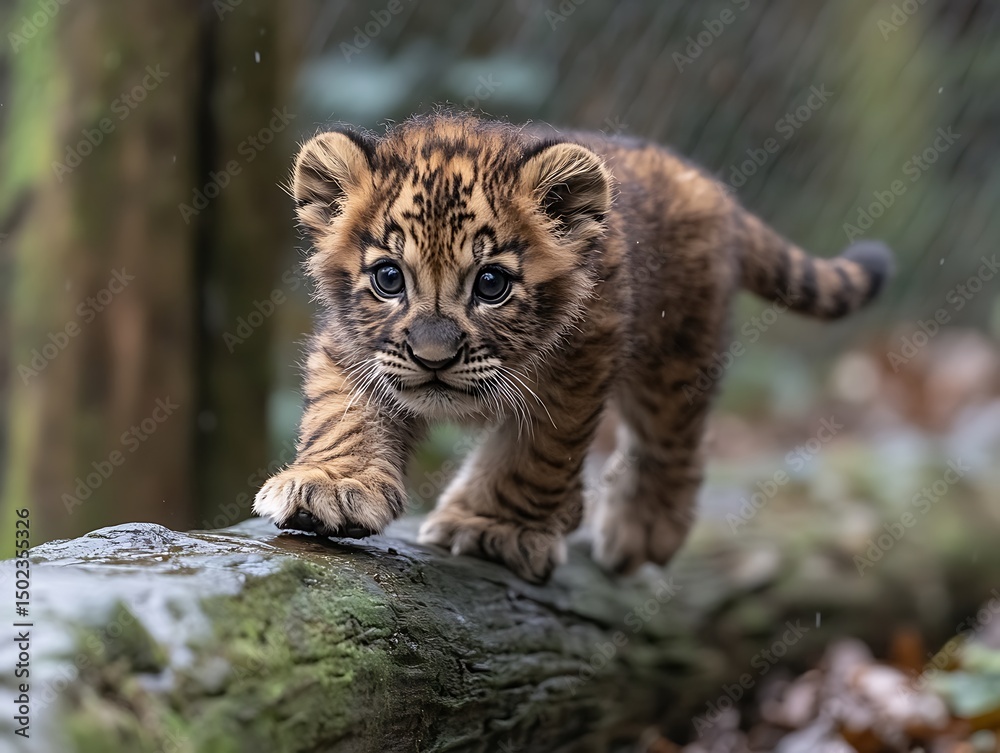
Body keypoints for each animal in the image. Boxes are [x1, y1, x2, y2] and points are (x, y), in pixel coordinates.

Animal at [252, 112, 892, 583]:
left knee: (673, 442)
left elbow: (536, 455)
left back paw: (642, 529)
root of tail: (700, 179)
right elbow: (344, 417)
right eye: (389, 278)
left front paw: (495, 529)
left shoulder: (577, 367)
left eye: (491, 284)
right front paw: (331, 487)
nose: (434, 359)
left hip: (676, 354)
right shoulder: (351, 348)